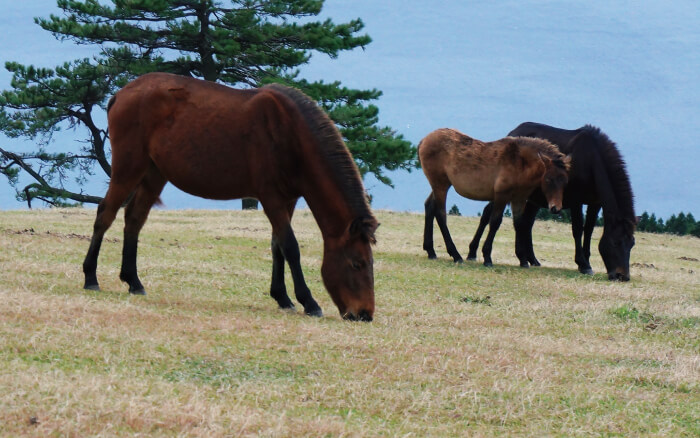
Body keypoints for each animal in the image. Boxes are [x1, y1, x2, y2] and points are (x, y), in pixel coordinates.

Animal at [81, 72, 378, 322]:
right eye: (357, 263)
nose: (364, 314)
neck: (290, 133)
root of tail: (122, 93)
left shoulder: (288, 199)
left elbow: (277, 246)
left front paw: (282, 297)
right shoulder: (270, 197)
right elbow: (290, 247)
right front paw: (309, 301)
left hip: (154, 173)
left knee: (134, 219)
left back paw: (133, 281)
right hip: (128, 168)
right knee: (105, 214)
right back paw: (91, 276)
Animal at [418, 128, 572, 266]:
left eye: (565, 181)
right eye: (548, 180)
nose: (555, 208)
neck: (519, 162)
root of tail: (424, 140)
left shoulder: (519, 199)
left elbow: (518, 224)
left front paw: (522, 260)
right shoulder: (501, 196)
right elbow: (495, 222)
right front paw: (487, 257)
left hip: (441, 184)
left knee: (429, 206)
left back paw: (431, 251)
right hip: (440, 184)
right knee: (440, 214)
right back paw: (456, 255)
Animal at [468, 122, 636, 280]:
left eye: (632, 244)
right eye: (615, 242)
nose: (623, 276)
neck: (591, 160)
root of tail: (513, 133)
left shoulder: (596, 203)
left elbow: (588, 230)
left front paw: (587, 261)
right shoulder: (576, 201)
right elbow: (577, 229)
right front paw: (582, 263)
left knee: (526, 223)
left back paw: (531, 259)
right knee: (487, 214)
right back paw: (472, 252)